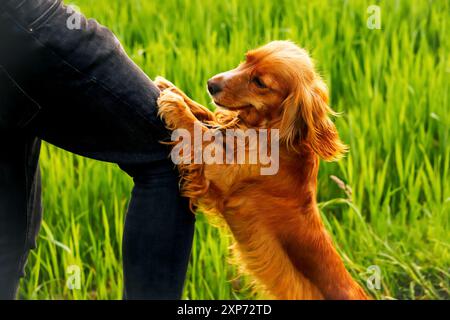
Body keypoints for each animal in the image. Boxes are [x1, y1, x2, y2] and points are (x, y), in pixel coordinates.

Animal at [155, 40, 370, 300]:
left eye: (259, 82)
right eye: (246, 59)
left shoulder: (221, 172)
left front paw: (174, 104)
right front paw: (173, 89)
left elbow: (198, 131)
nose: (211, 84)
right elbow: (207, 119)